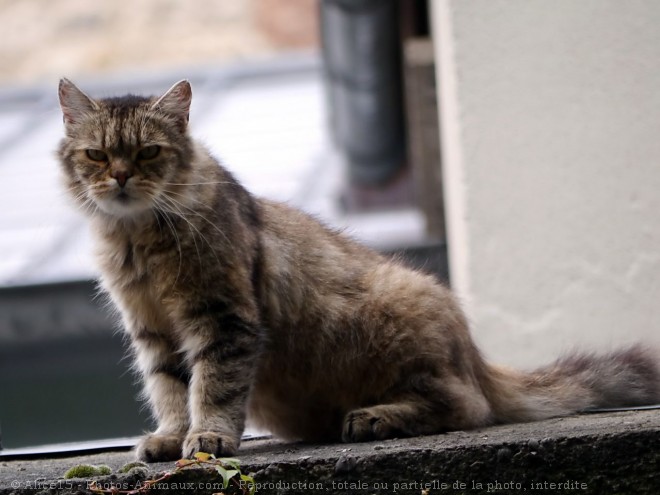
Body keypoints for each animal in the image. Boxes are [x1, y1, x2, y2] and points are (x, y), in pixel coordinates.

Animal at [58, 78, 660, 464]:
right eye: (96, 155)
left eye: (148, 152)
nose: (120, 178)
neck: (137, 240)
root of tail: (477, 357)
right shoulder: (155, 332)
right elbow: (169, 390)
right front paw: (170, 436)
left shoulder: (222, 320)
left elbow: (212, 388)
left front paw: (207, 439)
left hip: (396, 324)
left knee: (470, 407)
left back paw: (375, 417)